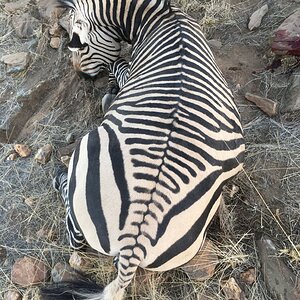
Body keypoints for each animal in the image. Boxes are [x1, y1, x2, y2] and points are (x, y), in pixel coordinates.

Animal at [41, 0, 244, 298]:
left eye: (79, 43)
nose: (80, 76)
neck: (164, 18)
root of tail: (133, 244)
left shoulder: (129, 67)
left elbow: (117, 64)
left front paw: (111, 88)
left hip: (84, 154)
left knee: (75, 236)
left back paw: (58, 177)